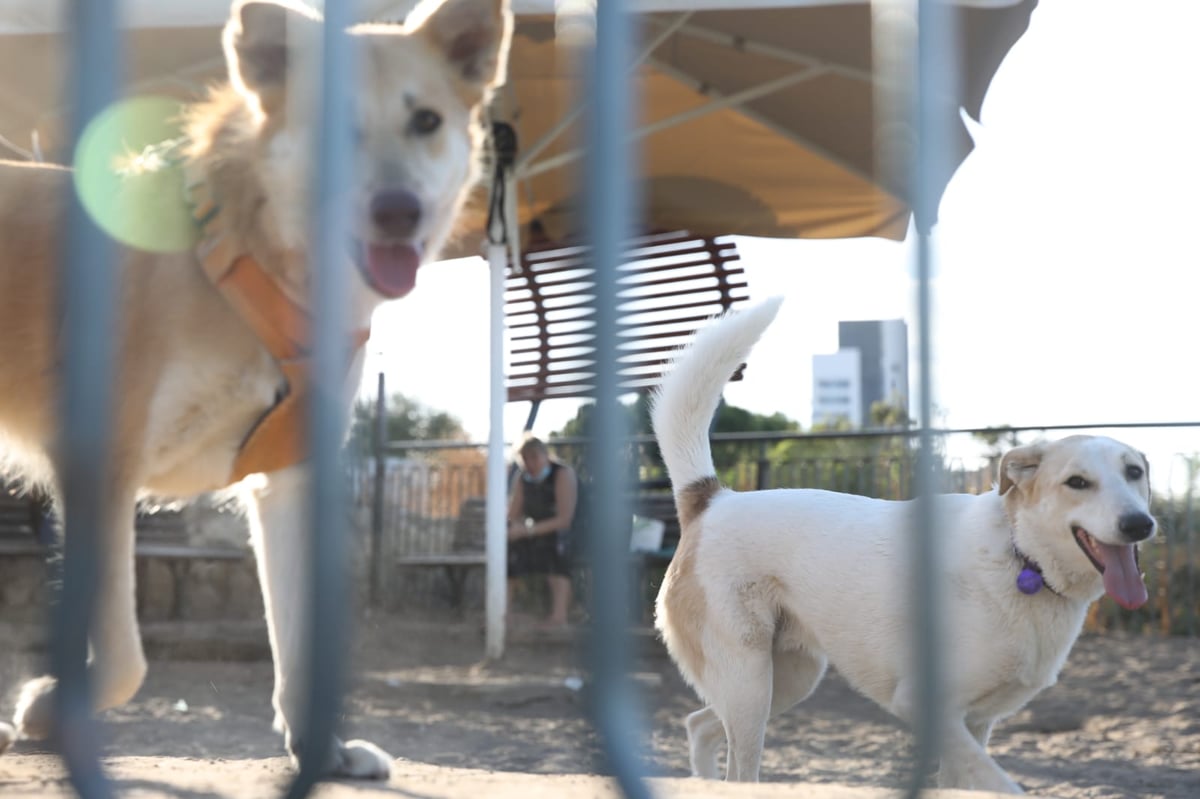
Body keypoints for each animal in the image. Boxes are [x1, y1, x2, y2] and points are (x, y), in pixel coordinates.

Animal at [0, 0, 511, 772]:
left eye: (425, 121)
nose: (399, 211)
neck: (248, 261)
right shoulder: (99, 464)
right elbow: (125, 659)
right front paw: (53, 708)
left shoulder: (288, 481)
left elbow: (297, 649)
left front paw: (321, 750)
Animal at [652, 297, 1156, 791]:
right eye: (1077, 482)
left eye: (1135, 472)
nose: (1139, 524)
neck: (1020, 558)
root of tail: (713, 499)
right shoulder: (924, 705)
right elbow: (999, 781)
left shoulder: (974, 723)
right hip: (750, 683)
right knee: (740, 768)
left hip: (789, 678)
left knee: (700, 725)